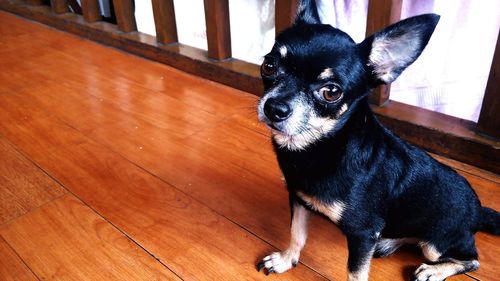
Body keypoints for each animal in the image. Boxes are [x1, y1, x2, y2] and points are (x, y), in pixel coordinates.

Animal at [256, 1, 498, 278]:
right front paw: (286, 260)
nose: (274, 108)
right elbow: (297, 234)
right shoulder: (298, 201)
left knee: (471, 260)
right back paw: (390, 242)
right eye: (269, 66)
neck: (322, 147)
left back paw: (433, 271)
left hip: (436, 245)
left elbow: (355, 273)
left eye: (331, 92)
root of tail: (479, 211)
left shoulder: (363, 234)